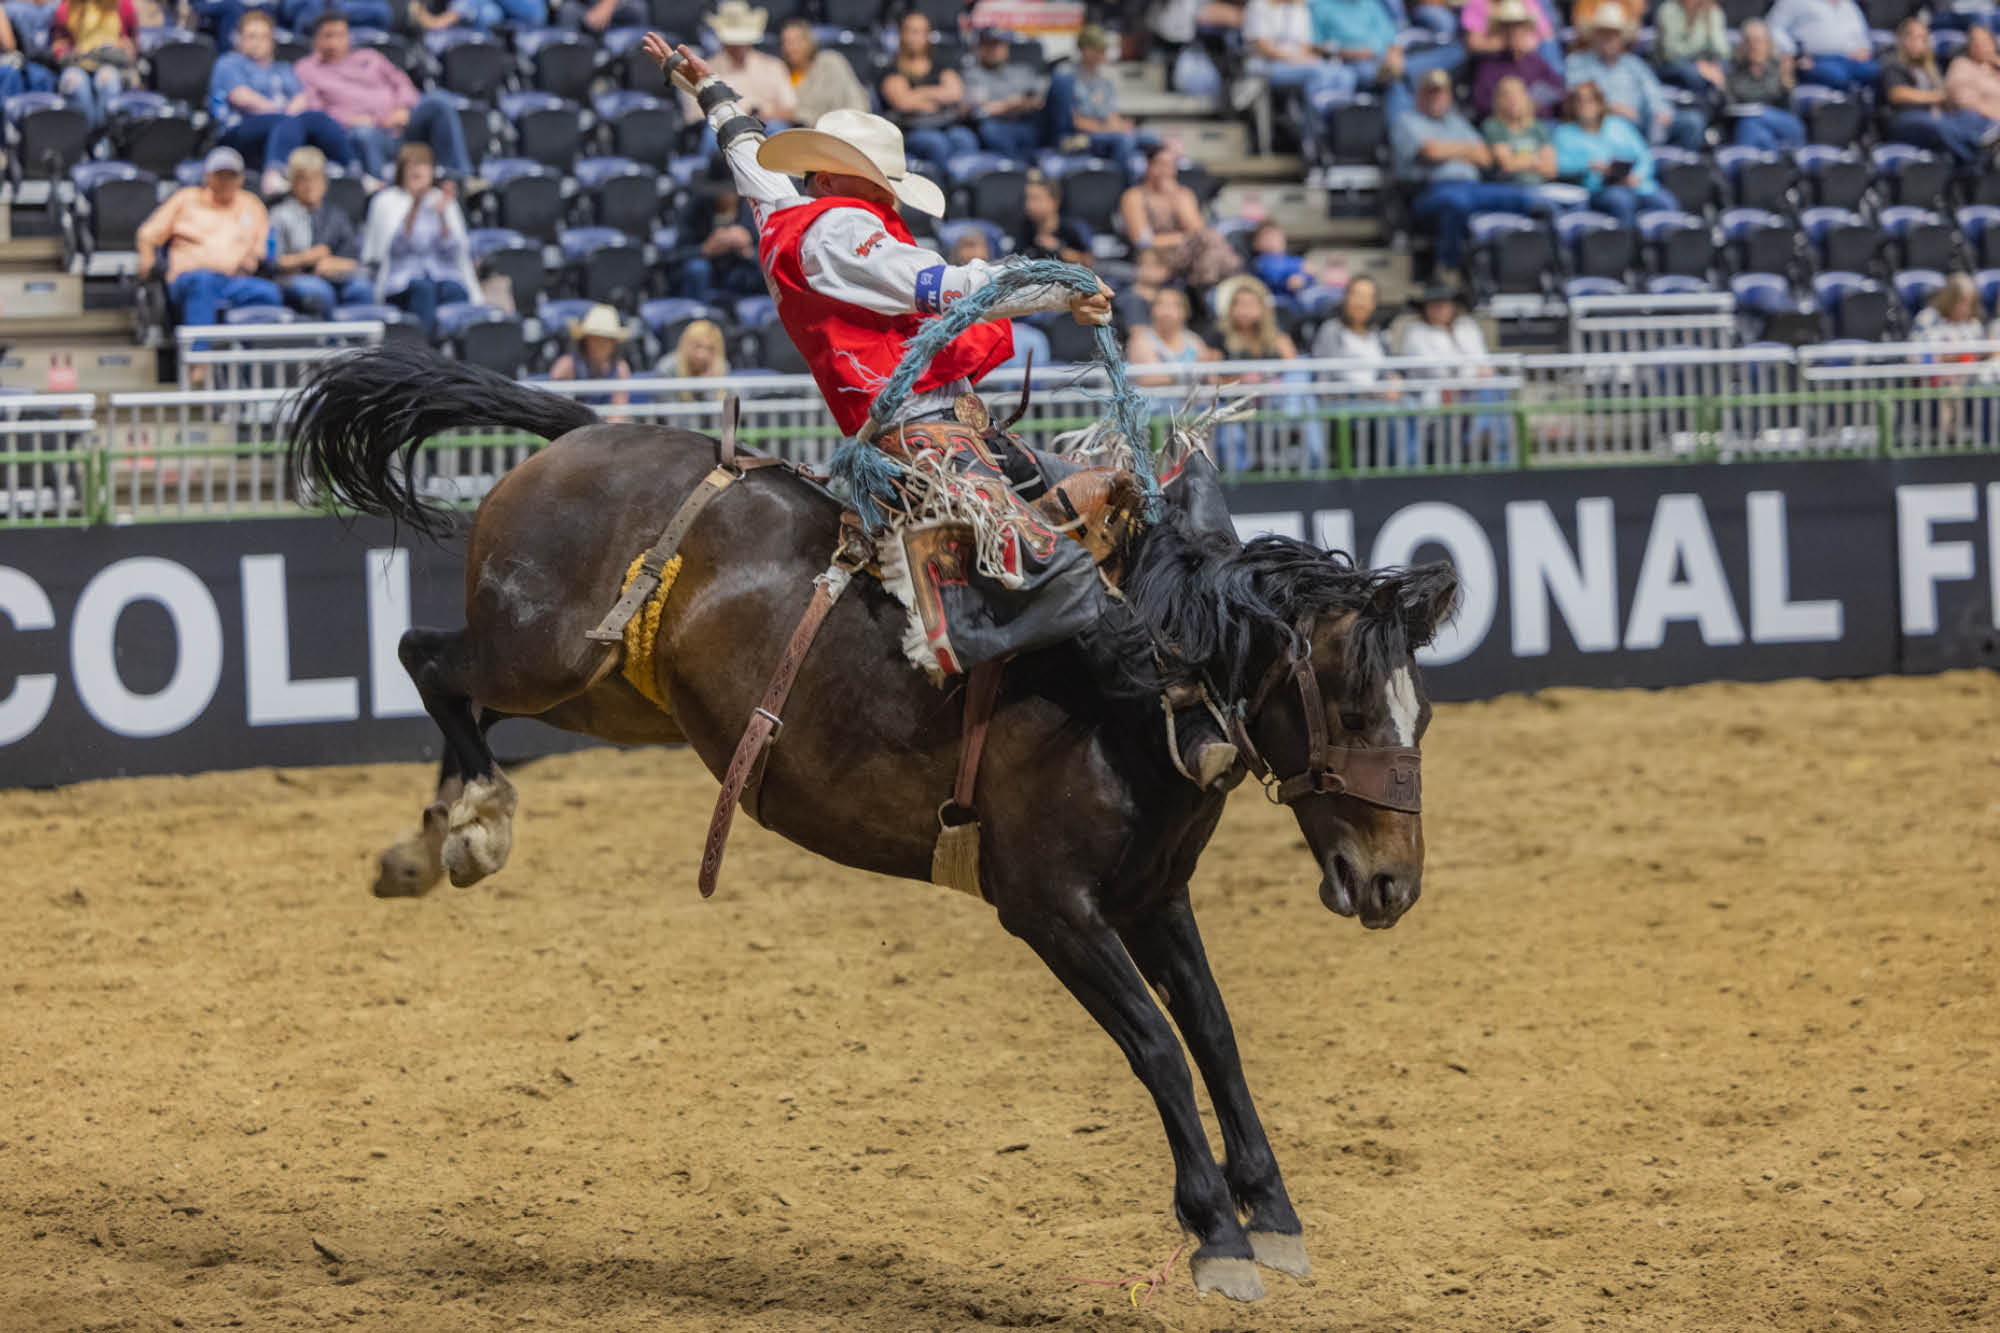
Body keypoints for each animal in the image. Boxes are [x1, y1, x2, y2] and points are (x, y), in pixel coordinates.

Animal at [284, 342, 1460, 1302]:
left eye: (1425, 714)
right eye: (1353, 707)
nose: (1391, 885)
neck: (1141, 683)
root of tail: (581, 435)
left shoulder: (1151, 894)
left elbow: (1212, 1032)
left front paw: (1273, 1210)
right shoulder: (1050, 909)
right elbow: (1158, 1047)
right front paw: (1216, 1232)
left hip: (600, 694)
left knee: (464, 704)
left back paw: (432, 841)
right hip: (539, 652)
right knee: (426, 661)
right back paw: (470, 822)